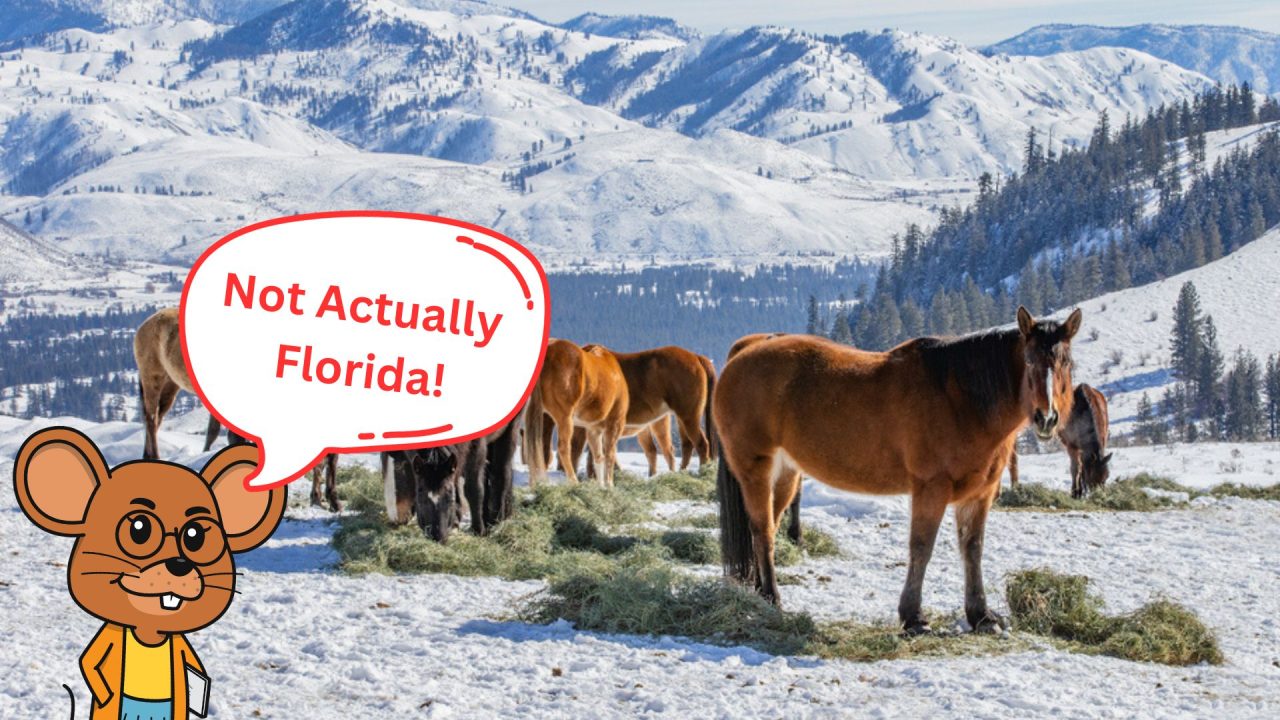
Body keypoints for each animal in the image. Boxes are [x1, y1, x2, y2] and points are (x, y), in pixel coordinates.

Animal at [383, 414, 520, 541]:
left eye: (449, 494)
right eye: (420, 492)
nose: (437, 536)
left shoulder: (477, 448)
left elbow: (473, 489)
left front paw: (478, 530)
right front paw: (456, 522)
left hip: (509, 431)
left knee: (502, 471)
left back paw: (498, 520)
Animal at [522, 339, 629, 486]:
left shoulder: (593, 429)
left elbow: (598, 457)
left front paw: (601, 485)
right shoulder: (615, 424)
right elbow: (609, 455)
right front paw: (609, 484)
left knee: (535, 446)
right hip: (565, 418)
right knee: (564, 448)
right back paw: (573, 481)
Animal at [715, 307, 1081, 634]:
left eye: (1066, 363)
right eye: (1029, 360)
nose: (1046, 418)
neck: (959, 398)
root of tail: (746, 349)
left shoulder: (980, 493)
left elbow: (972, 549)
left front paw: (981, 616)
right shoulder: (931, 489)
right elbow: (921, 547)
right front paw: (914, 617)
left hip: (786, 475)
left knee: (769, 528)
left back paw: (760, 592)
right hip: (756, 471)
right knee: (763, 531)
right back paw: (772, 598)